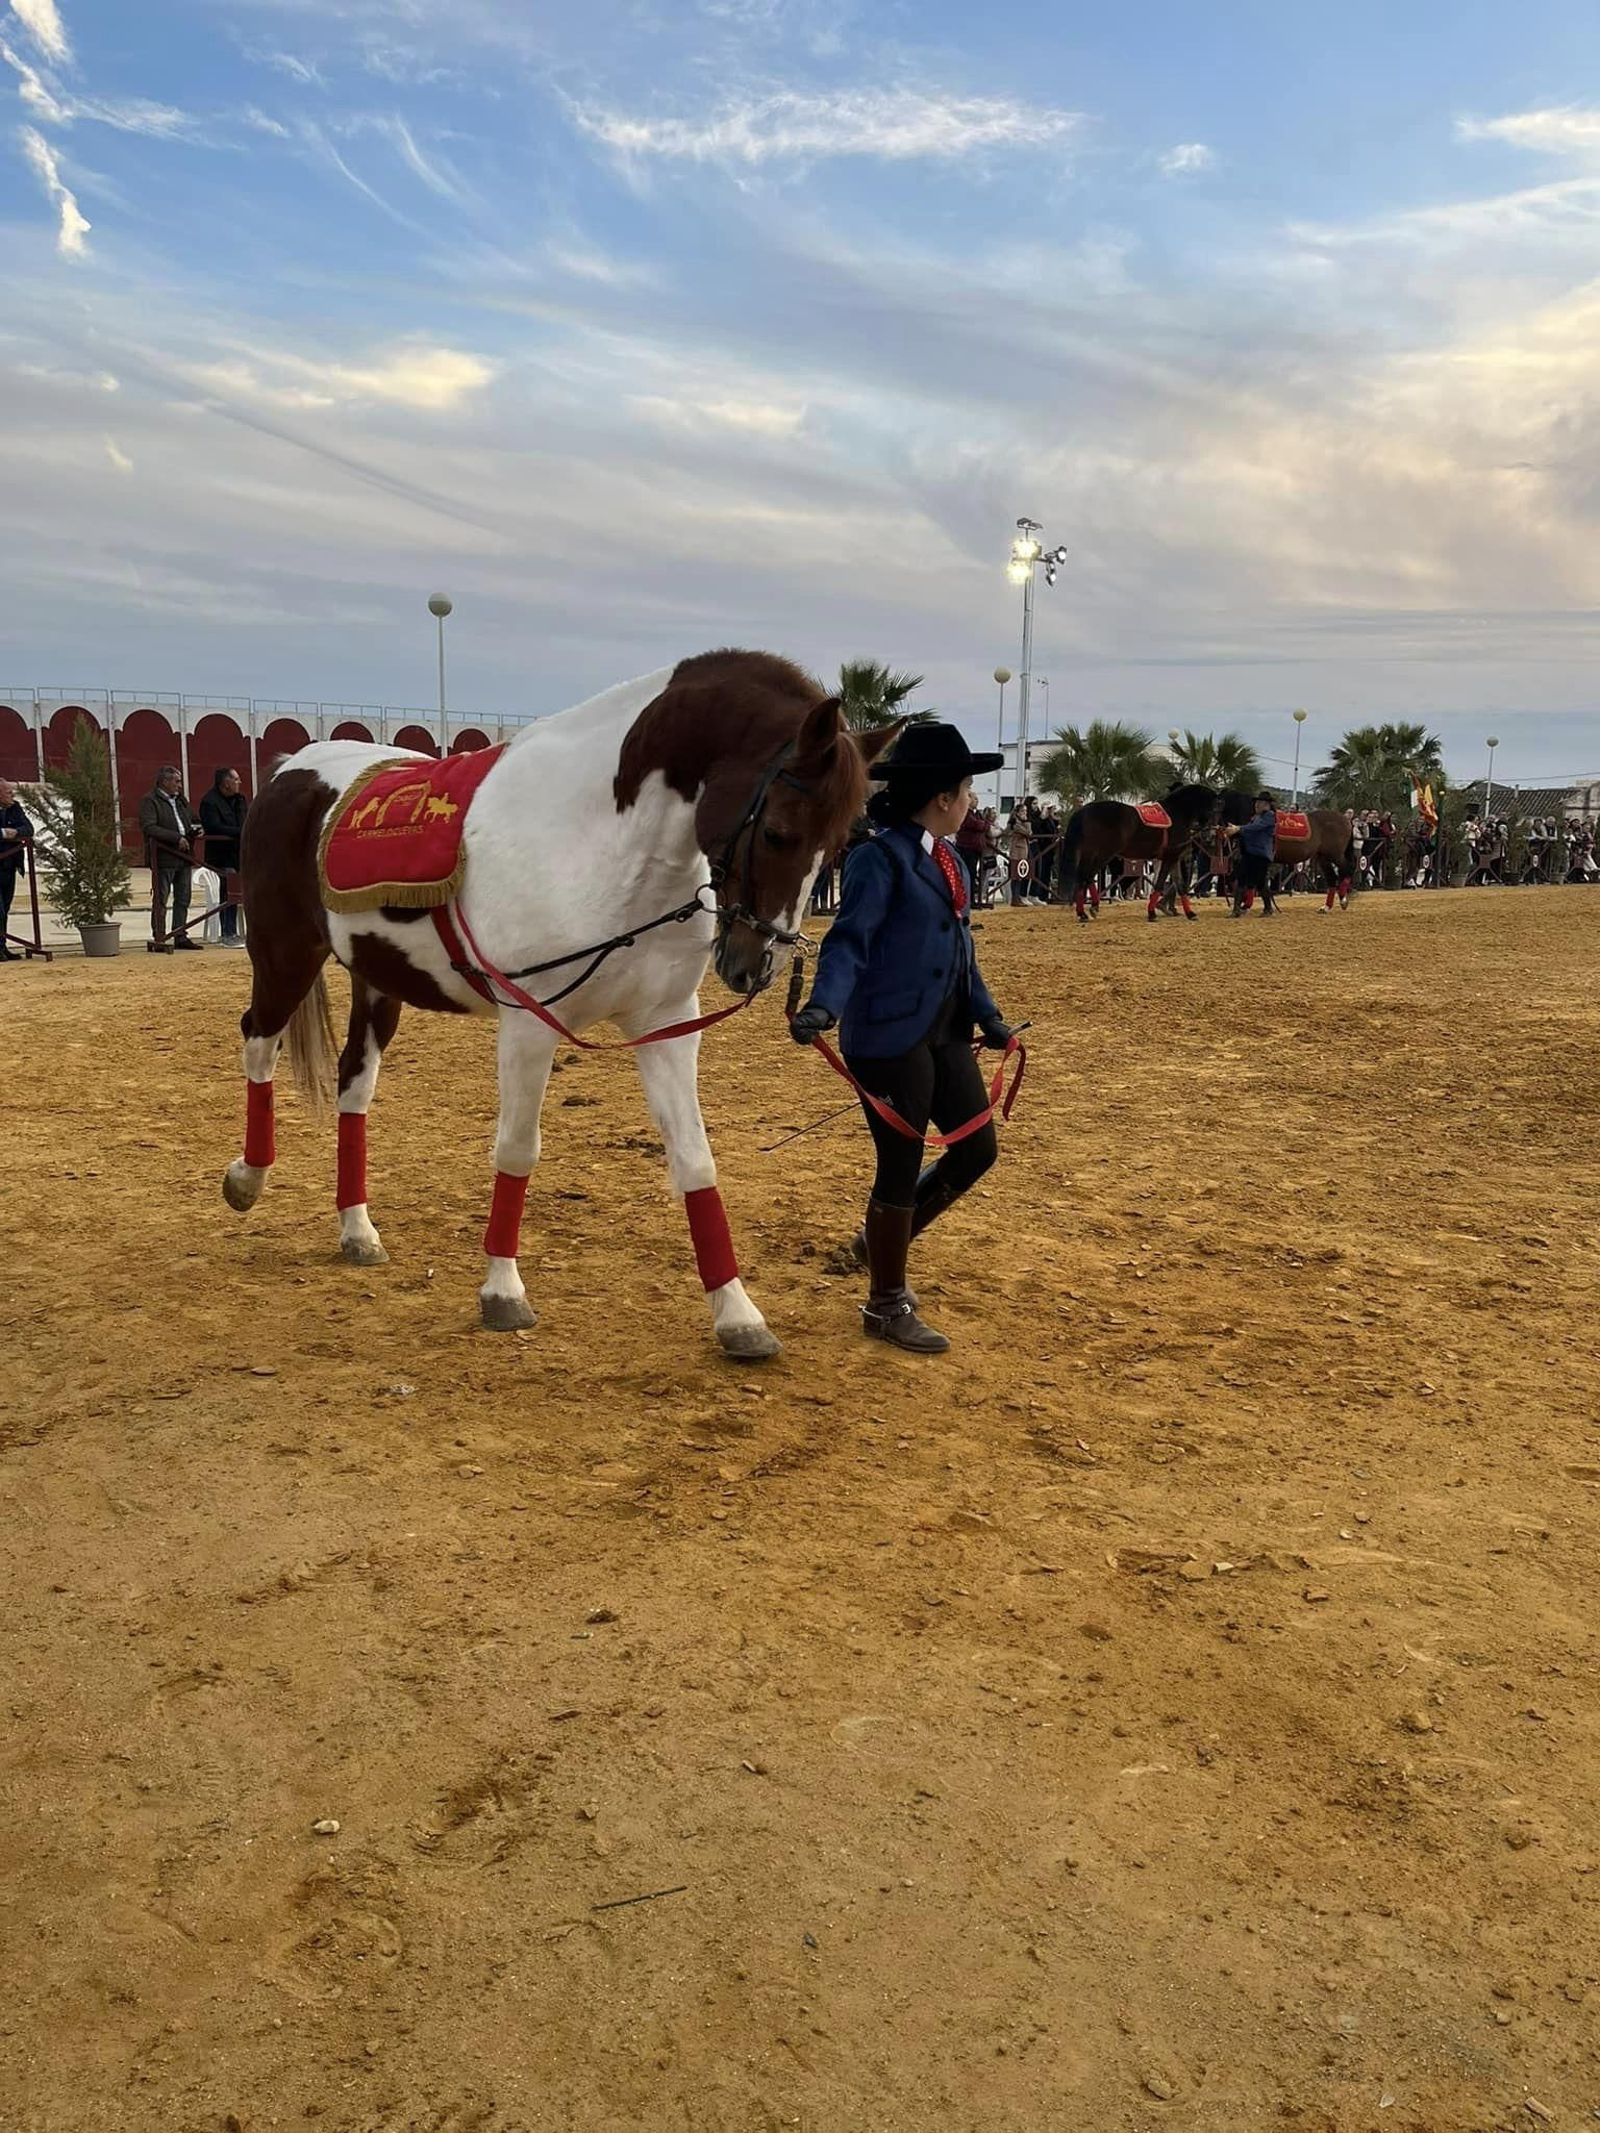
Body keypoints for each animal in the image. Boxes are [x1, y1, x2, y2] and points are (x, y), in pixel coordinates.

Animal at [220, 650, 895, 1360]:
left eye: (842, 843)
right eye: (778, 832)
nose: (754, 965)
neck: (600, 838)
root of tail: (289, 767)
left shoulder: (668, 1025)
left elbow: (694, 1159)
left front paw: (738, 1316)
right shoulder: (529, 1025)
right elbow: (517, 1149)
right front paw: (502, 1292)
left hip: (380, 981)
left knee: (354, 1082)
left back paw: (356, 1229)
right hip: (285, 955)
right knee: (258, 1042)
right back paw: (248, 1177)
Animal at [1055, 785, 1223, 924]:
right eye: (1215, 809)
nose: (1210, 836)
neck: (1177, 814)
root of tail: (1082, 811)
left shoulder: (1174, 858)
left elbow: (1180, 885)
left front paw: (1190, 913)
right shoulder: (1169, 857)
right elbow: (1160, 883)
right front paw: (1152, 913)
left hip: (1090, 854)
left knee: (1084, 877)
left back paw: (1083, 912)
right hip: (1104, 853)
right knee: (1087, 875)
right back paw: (1091, 909)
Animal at [1217, 791, 1358, 909]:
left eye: (1217, 808)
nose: (1216, 831)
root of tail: (1345, 820)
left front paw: (1245, 903)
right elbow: (1241, 878)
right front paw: (1245, 903)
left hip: (1335, 854)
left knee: (1348, 868)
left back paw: (1343, 899)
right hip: (1323, 857)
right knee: (1332, 877)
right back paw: (1327, 906)